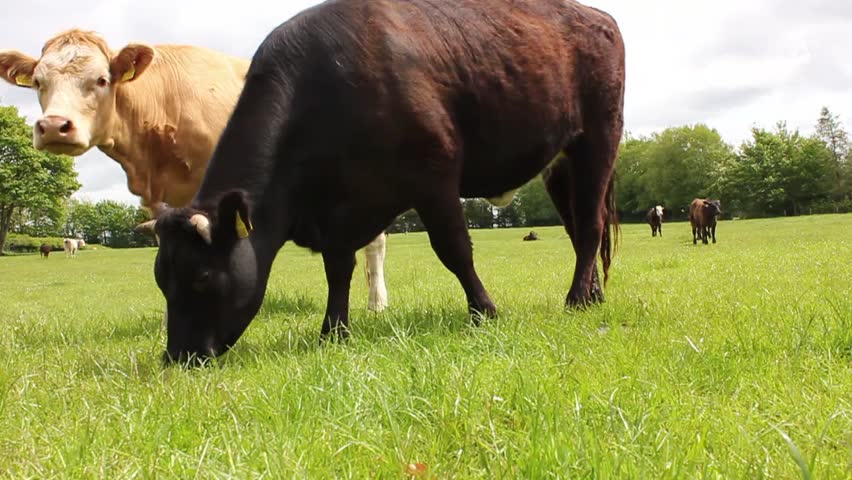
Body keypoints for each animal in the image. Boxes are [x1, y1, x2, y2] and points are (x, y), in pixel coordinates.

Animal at [141, 0, 624, 362]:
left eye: (203, 275)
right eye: (161, 279)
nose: (177, 356)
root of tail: (598, 16)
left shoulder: (434, 175)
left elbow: (454, 249)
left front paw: (484, 311)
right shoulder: (337, 209)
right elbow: (338, 270)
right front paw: (334, 331)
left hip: (598, 139)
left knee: (591, 226)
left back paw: (576, 298)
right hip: (560, 165)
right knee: (578, 226)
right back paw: (594, 295)